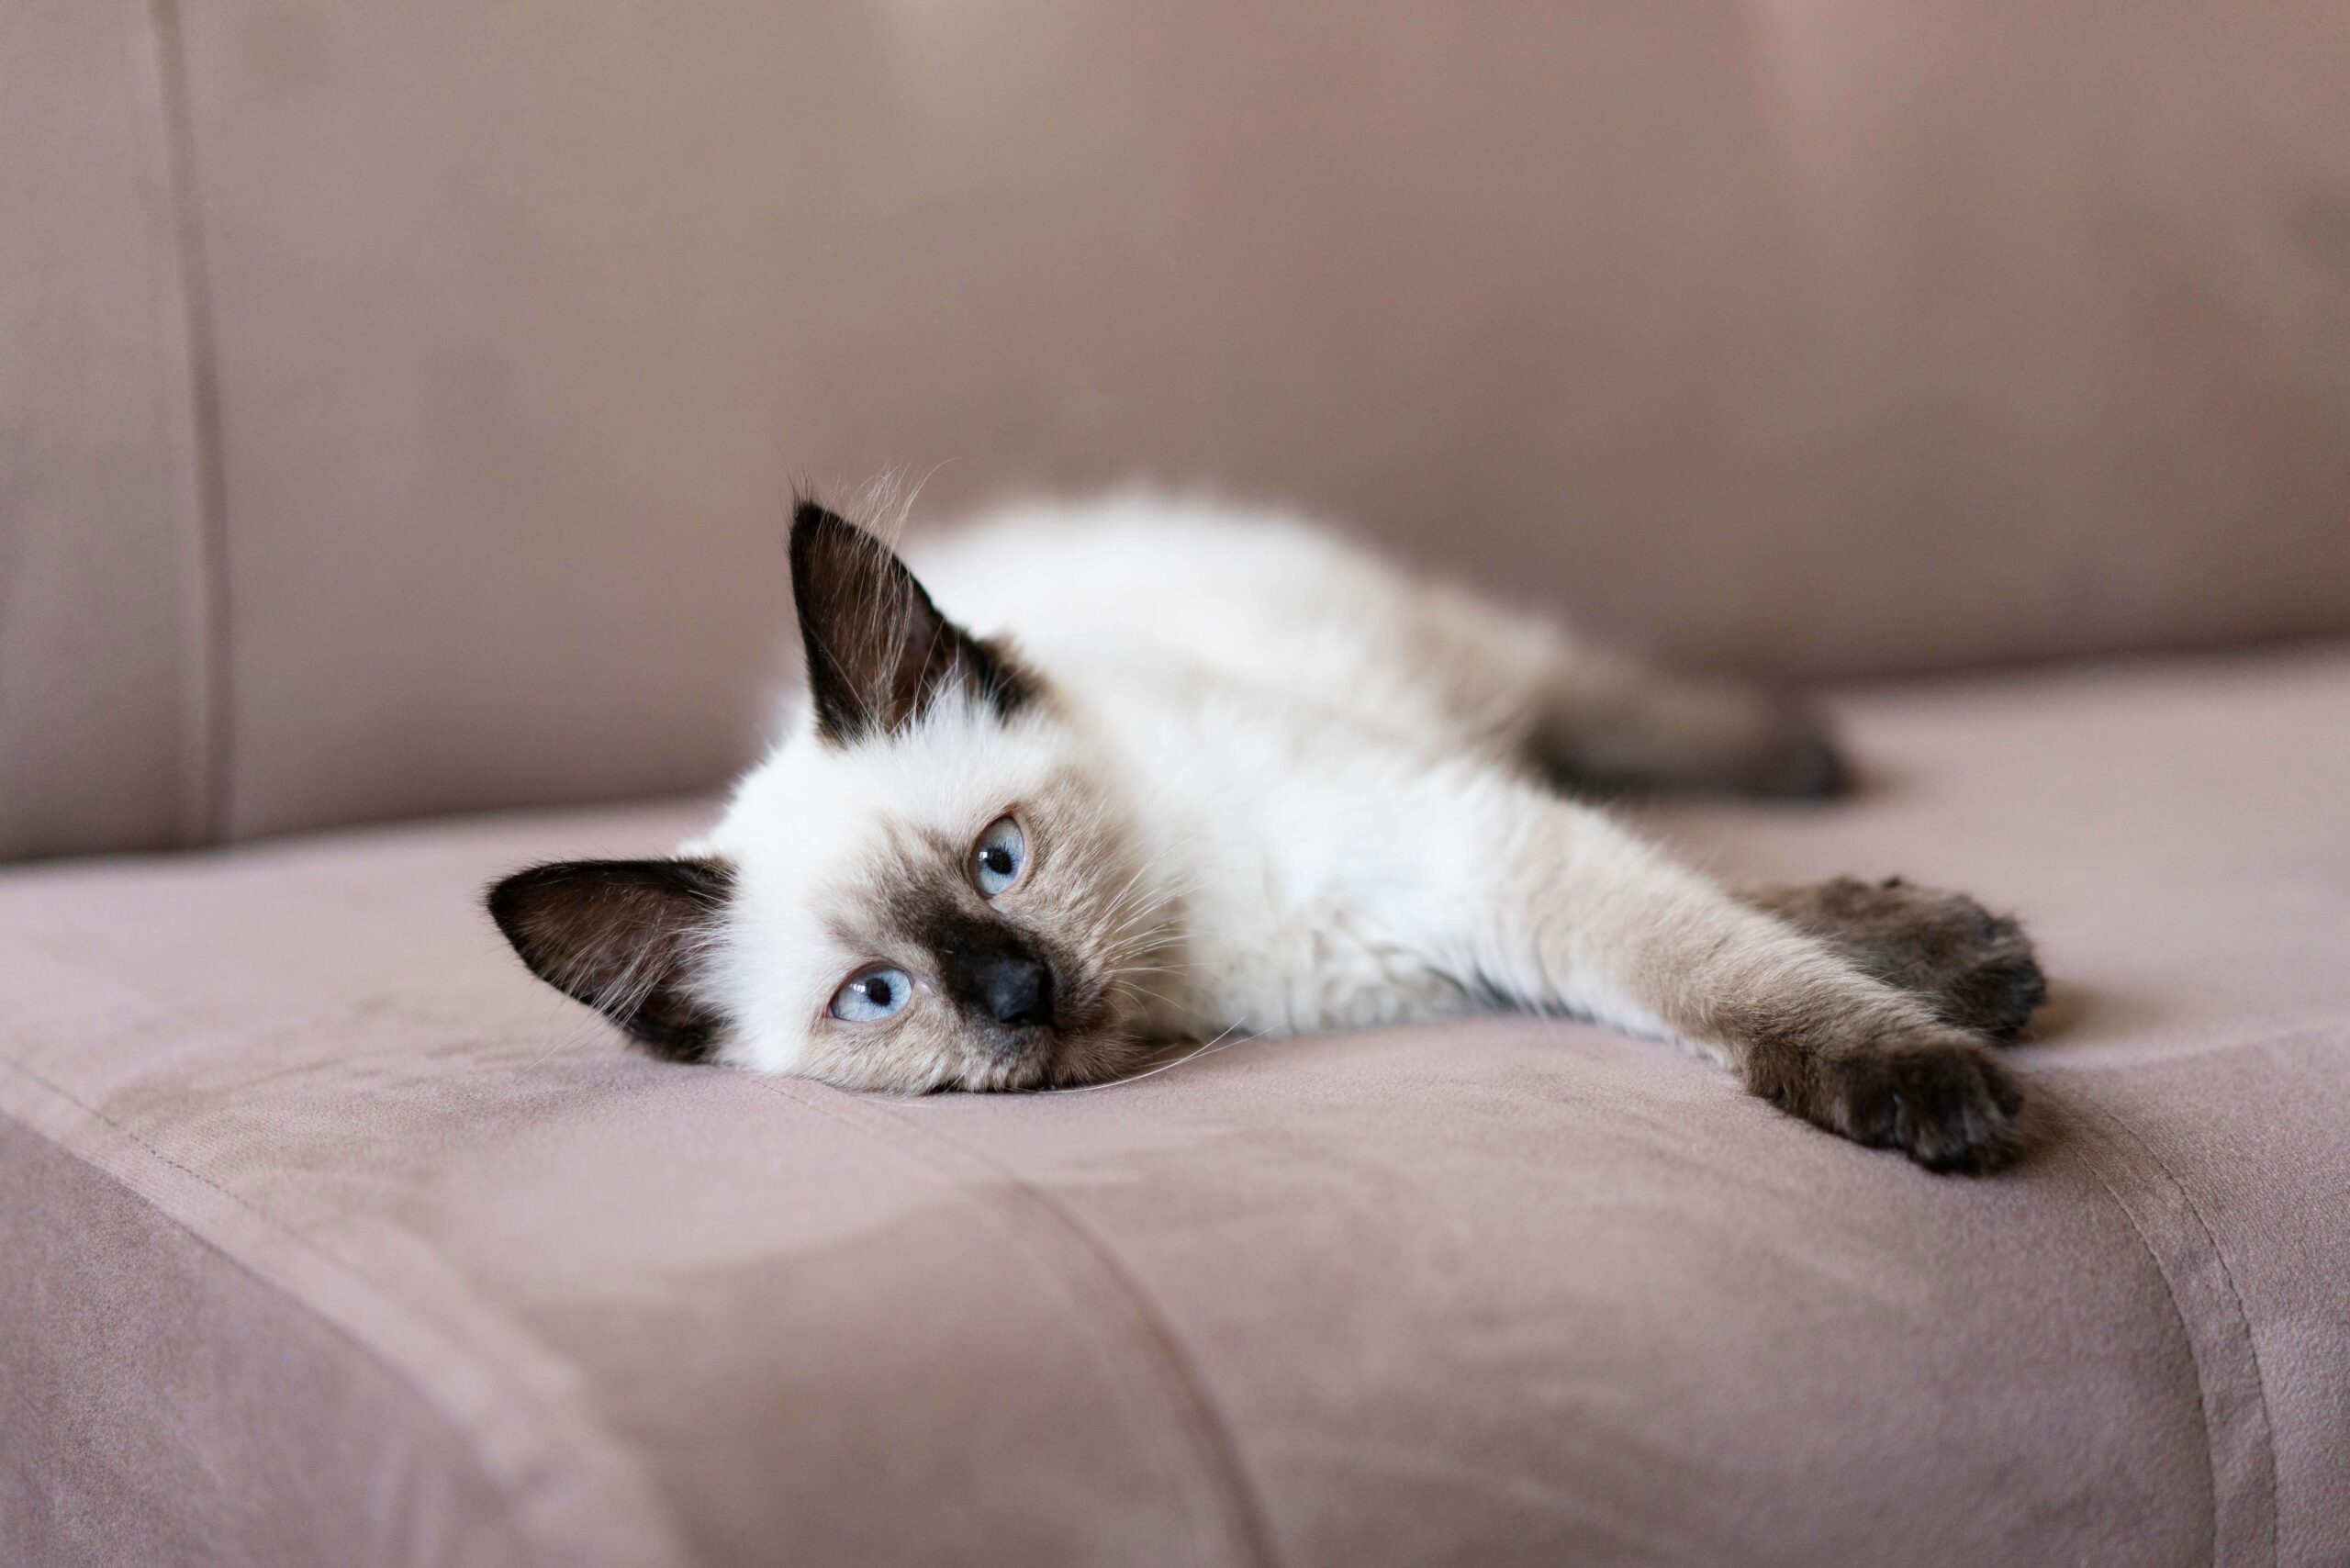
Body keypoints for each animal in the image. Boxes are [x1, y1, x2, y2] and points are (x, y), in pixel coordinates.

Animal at [486, 496, 2049, 1170]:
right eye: (876, 998)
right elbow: (1733, 931)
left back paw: (1807, 754)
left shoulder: (1464, 844)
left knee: (1594, 699)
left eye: (1000, 858)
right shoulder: (1462, 903)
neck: (1198, 959)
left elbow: (1723, 956)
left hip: (1456, 668)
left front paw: (1944, 1038)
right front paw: (1956, 976)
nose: (1021, 991)